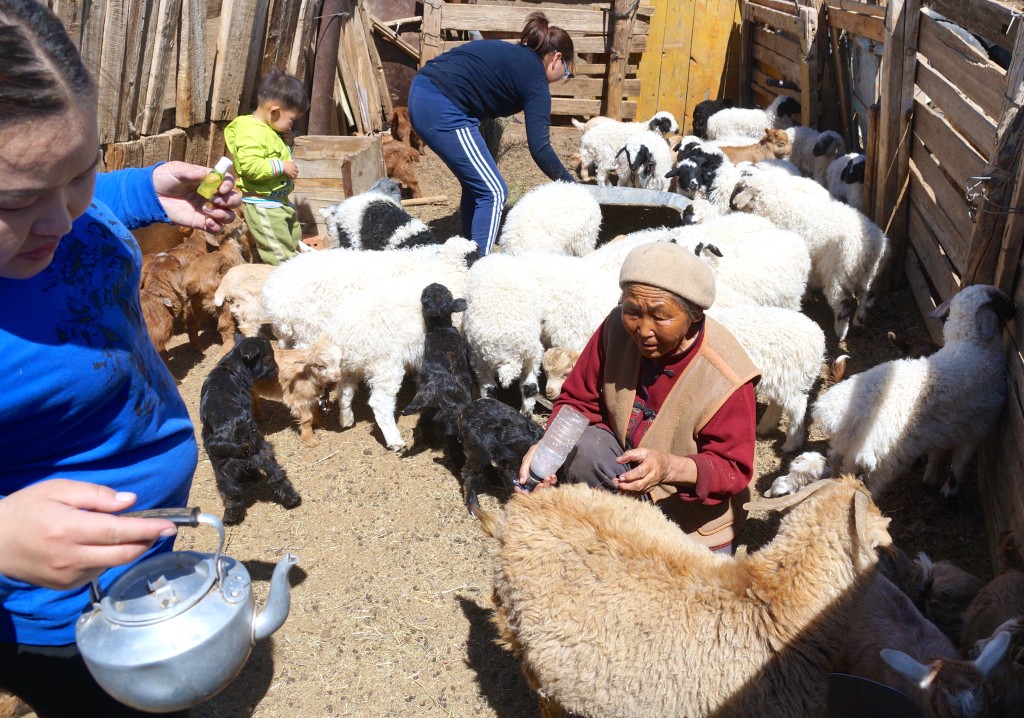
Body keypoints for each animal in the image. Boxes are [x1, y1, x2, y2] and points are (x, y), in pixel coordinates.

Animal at [260, 235, 475, 448]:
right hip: (334, 346)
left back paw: (345, 418)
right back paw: (394, 440)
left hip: (329, 354)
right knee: (377, 401)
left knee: (343, 388)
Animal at [729, 174, 888, 342]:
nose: (730, 205)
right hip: (867, 275)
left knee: (842, 306)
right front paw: (808, 296)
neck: (775, 206)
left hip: (838, 275)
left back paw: (840, 333)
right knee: (865, 296)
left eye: (738, 189)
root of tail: (871, 245)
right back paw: (859, 320)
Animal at [806, 280, 1015, 497]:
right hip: (880, 459)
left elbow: (936, 455)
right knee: (869, 484)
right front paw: (949, 491)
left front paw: (929, 479)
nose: (1015, 308)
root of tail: (834, 414)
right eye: (1000, 301)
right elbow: (958, 466)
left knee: (835, 464)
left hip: (843, 448)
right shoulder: (976, 429)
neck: (972, 348)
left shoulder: (942, 431)